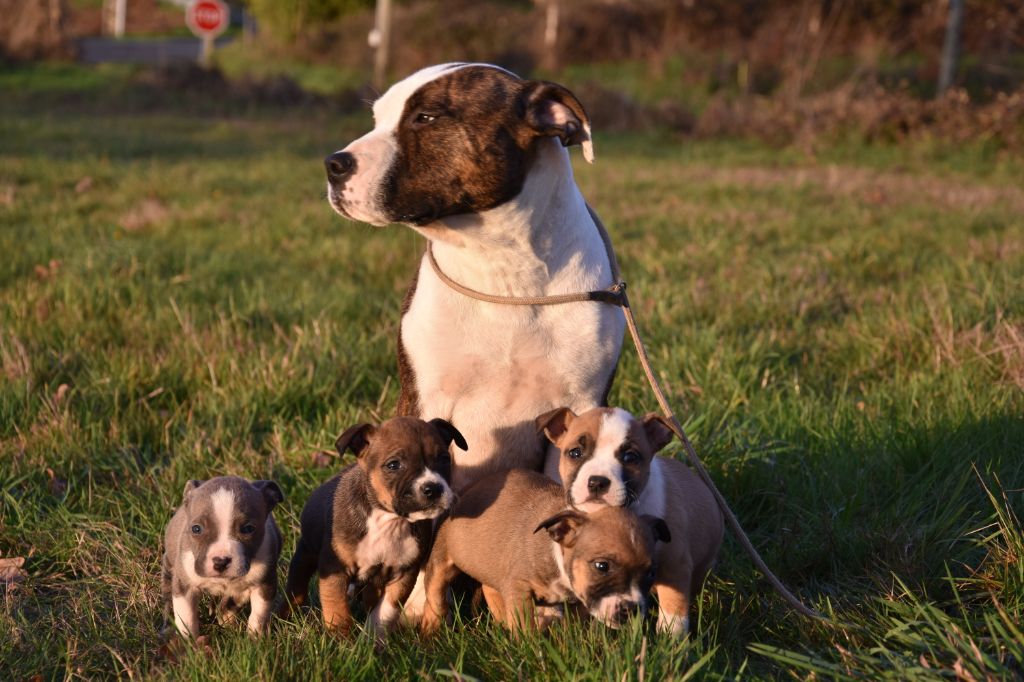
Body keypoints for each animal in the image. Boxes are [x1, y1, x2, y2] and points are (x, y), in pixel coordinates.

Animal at [162, 473, 284, 638]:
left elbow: (259, 615)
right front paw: (187, 642)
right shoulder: (184, 586)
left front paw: (255, 638)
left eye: (248, 529)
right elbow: (186, 618)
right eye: (196, 529)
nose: (220, 561)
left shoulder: (265, 584)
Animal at [286, 413, 466, 638]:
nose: (432, 488)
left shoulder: (402, 575)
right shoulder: (334, 570)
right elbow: (337, 609)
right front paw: (341, 638)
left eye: (444, 459)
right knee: (296, 589)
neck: (389, 521)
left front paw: (374, 638)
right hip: (304, 556)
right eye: (393, 465)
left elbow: (385, 611)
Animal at [323, 62, 622, 489]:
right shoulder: (425, 398)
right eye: (377, 118)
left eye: (426, 117)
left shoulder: (579, 403)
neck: (502, 266)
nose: (334, 164)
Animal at [419, 466, 667, 630]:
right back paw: (431, 630)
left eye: (651, 573)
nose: (631, 610)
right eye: (602, 566)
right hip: (441, 560)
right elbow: (524, 628)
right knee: (435, 595)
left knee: (490, 588)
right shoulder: (519, 590)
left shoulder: (579, 604)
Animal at [540, 405, 724, 634]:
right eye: (575, 453)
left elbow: (674, 605)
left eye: (630, 457)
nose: (597, 482)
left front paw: (671, 638)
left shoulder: (675, 564)